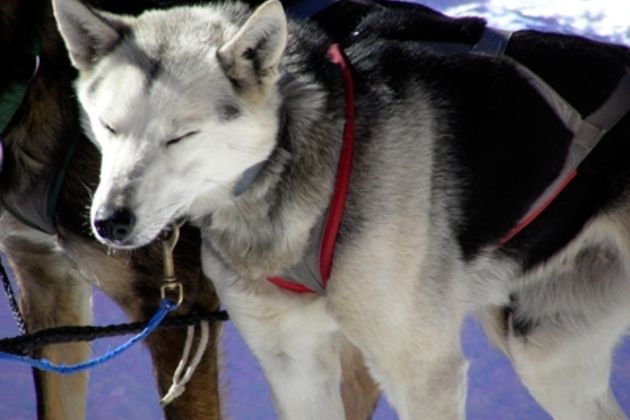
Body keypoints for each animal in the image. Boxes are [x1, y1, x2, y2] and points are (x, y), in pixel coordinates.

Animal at [54, 0, 630, 418]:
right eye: (109, 126)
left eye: (181, 136)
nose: (110, 221)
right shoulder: (292, 362)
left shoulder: (424, 373)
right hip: (546, 354)